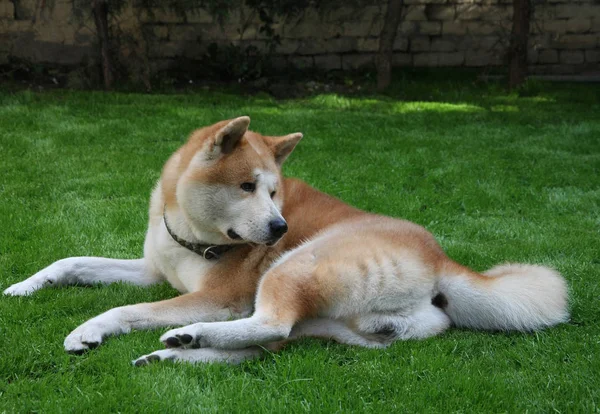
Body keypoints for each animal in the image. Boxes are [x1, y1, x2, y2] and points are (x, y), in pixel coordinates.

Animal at [2, 115, 568, 364]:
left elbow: (123, 310)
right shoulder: (152, 270)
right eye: (247, 187)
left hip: (290, 268)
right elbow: (71, 261)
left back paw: (188, 337)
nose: (279, 228)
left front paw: (89, 330)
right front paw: (23, 287)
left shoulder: (216, 296)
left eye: (274, 191)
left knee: (269, 323)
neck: (191, 236)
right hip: (338, 327)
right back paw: (179, 354)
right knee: (271, 340)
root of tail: (441, 258)